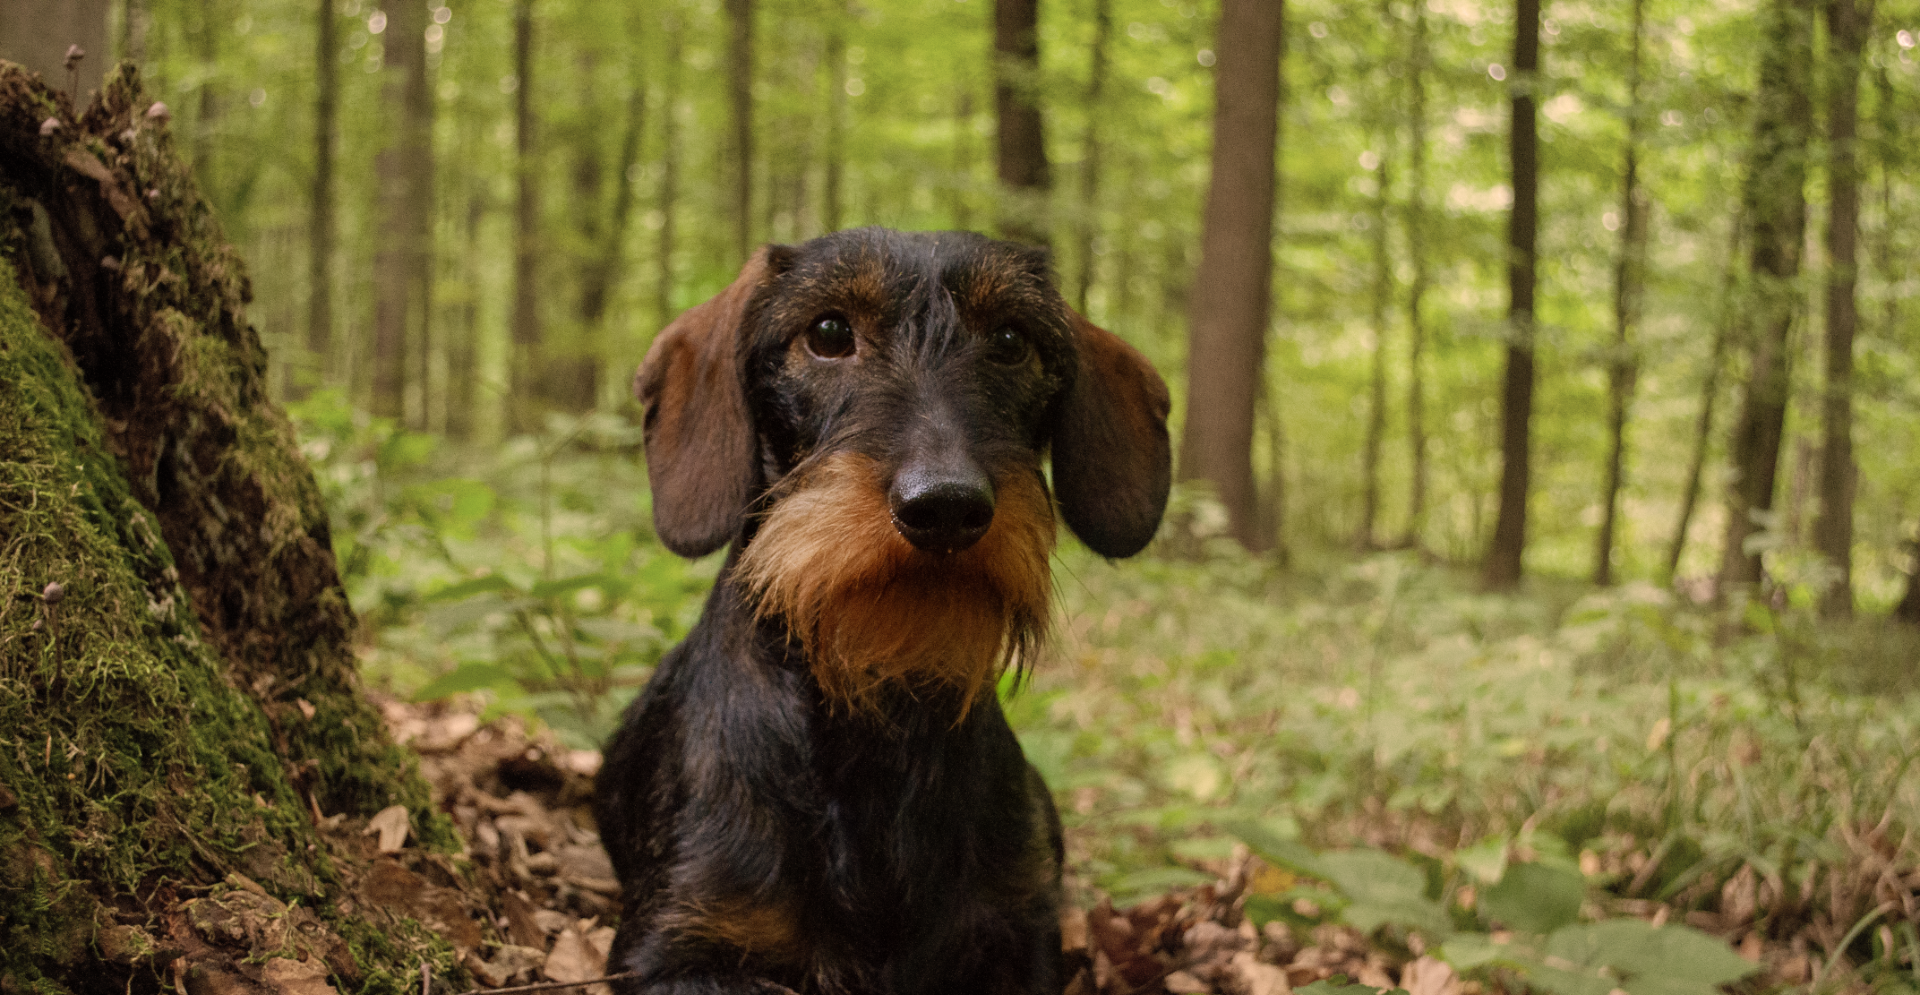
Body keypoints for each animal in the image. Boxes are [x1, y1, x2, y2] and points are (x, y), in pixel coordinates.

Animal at [595, 228, 1171, 995]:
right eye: (829, 332)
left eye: (1011, 339)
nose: (945, 506)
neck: (874, 710)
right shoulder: (675, 947)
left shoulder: (1017, 932)